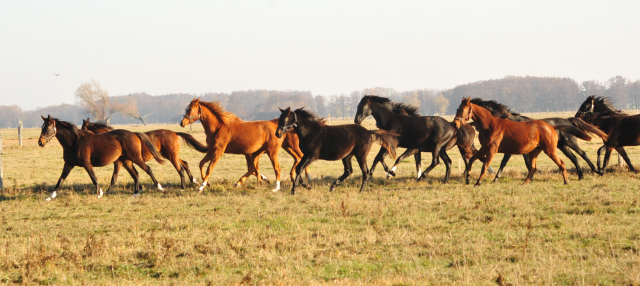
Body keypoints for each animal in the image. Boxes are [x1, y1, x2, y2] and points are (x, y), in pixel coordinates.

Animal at [80, 118, 208, 190]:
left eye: (82, 128)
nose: (80, 138)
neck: (114, 139)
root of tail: (174, 133)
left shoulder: (119, 162)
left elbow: (116, 177)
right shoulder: (125, 162)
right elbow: (132, 175)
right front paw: (139, 187)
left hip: (171, 156)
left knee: (180, 169)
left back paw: (183, 186)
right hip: (171, 156)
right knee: (185, 164)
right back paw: (193, 181)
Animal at [452, 98, 596, 185]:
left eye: (462, 110)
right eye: (457, 109)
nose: (455, 123)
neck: (491, 124)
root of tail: (552, 127)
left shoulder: (492, 150)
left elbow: (485, 166)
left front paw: (478, 182)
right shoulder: (485, 149)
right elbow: (472, 160)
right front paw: (468, 178)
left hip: (553, 149)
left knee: (567, 160)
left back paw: (569, 179)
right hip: (540, 151)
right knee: (538, 166)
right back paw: (525, 182)